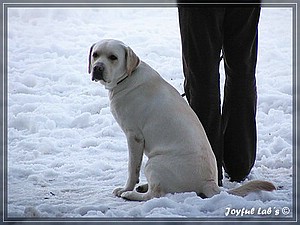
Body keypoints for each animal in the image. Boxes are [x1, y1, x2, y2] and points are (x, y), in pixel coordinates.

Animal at [88, 39, 276, 201]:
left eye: (113, 57)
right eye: (95, 55)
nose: (97, 68)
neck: (128, 77)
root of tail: (209, 183)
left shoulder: (134, 136)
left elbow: (132, 169)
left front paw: (125, 188)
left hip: (154, 163)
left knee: (156, 194)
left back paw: (132, 194)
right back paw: (143, 187)